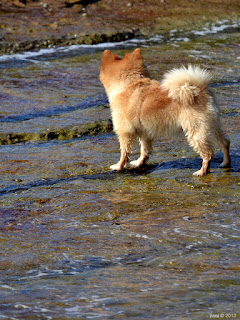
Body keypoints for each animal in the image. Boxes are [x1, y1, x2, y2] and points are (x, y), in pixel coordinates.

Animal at [99, 48, 231, 176]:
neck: (129, 84)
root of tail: (198, 90)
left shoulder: (125, 131)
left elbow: (124, 152)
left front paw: (118, 166)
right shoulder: (145, 132)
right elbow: (144, 150)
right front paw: (139, 162)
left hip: (195, 131)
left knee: (208, 154)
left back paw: (202, 171)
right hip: (210, 128)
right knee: (225, 143)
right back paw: (225, 163)